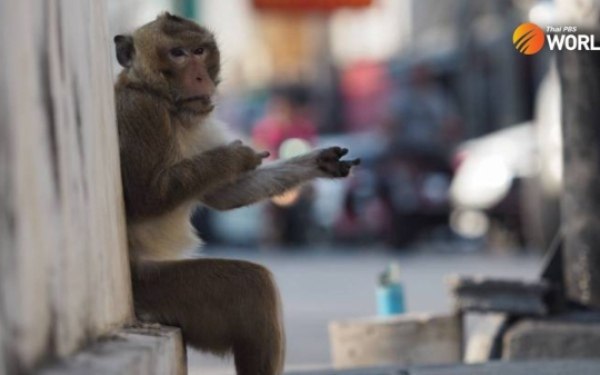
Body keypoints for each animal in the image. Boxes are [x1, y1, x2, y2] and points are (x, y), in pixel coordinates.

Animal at [113, 13, 360, 374]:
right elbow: (147, 196)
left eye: (199, 51)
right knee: (254, 287)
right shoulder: (141, 112)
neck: (166, 105)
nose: (200, 76)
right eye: (177, 54)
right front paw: (233, 157)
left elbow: (227, 194)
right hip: (152, 289)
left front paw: (318, 162)